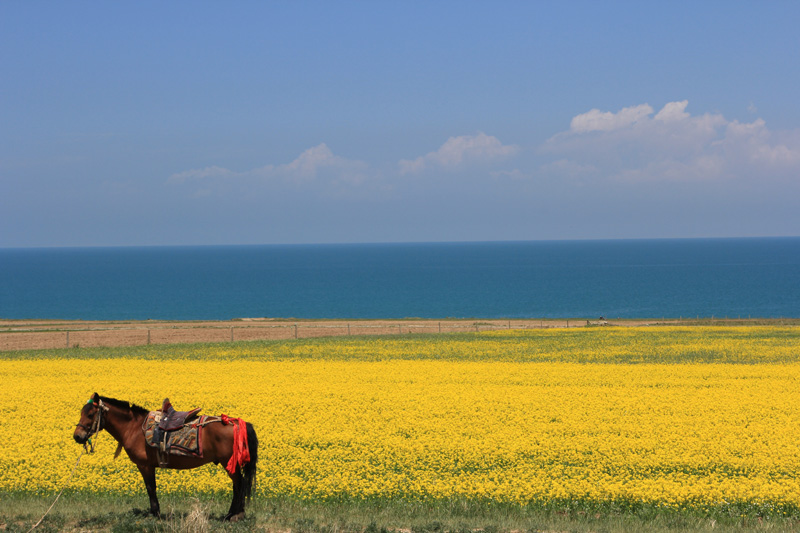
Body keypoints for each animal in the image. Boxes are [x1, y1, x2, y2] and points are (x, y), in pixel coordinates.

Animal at [73, 390, 256, 520]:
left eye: (90, 414)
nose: (77, 436)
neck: (134, 428)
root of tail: (235, 422)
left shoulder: (145, 465)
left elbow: (150, 488)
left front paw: (155, 513)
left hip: (229, 463)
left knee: (239, 484)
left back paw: (233, 515)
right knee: (238, 485)